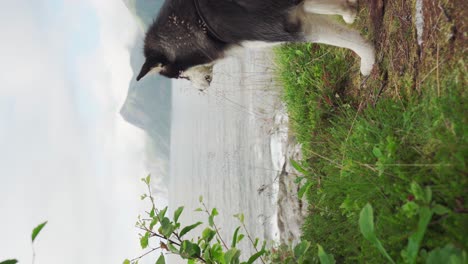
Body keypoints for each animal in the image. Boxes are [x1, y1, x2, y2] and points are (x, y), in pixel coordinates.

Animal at [136, 0, 376, 89]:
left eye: (181, 77)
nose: (202, 89)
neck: (199, 19)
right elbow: (331, 8)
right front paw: (349, 13)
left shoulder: (288, 28)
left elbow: (349, 40)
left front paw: (368, 60)